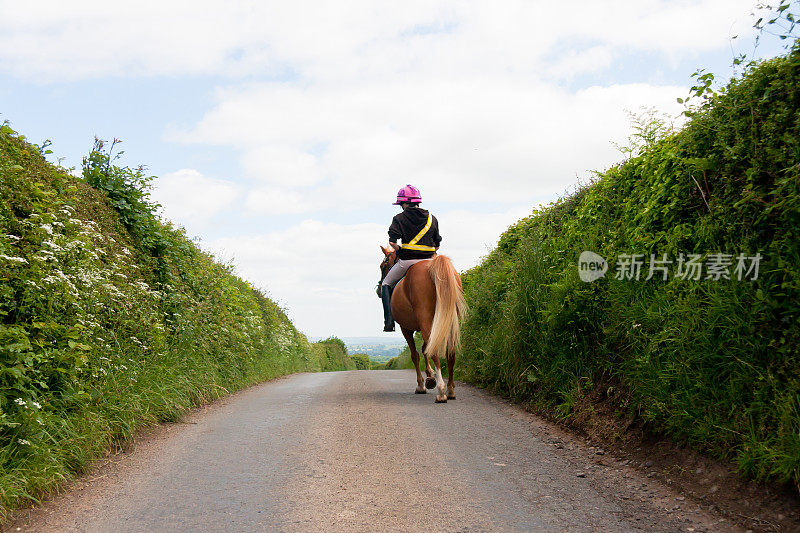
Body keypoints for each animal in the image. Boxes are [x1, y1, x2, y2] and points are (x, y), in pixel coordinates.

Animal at [378, 247, 466, 402]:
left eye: (383, 266)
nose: (378, 289)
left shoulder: (406, 328)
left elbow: (415, 354)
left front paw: (421, 384)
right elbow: (425, 348)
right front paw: (430, 377)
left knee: (434, 350)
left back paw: (441, 391)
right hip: (448, 322)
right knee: (450, 352)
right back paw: (450, 390)